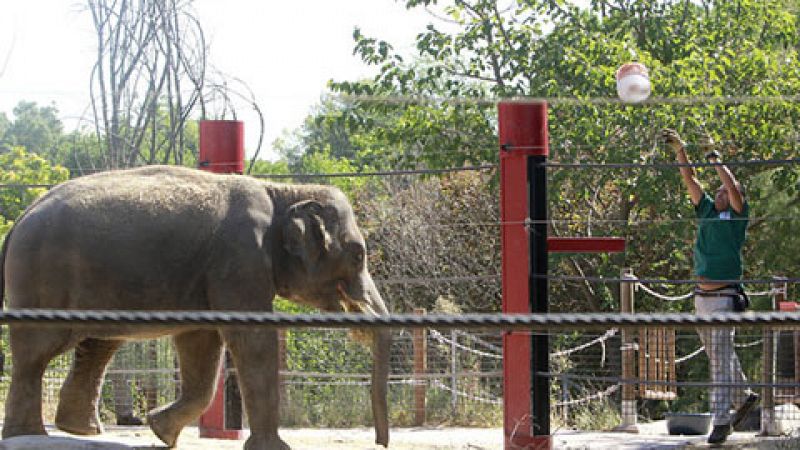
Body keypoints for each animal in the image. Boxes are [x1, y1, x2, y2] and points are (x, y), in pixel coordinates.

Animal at [0, 166, 392, 450]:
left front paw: (161, 432)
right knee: (36, 354)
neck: (281, 192)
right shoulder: (240, 259)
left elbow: (201, 341)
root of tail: (18, 221)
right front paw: (274, 449)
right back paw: (28, 435)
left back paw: (78, 431)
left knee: (95, 345)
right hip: (42, 279)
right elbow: (252, 340)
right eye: (358, 255)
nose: (381, 444)